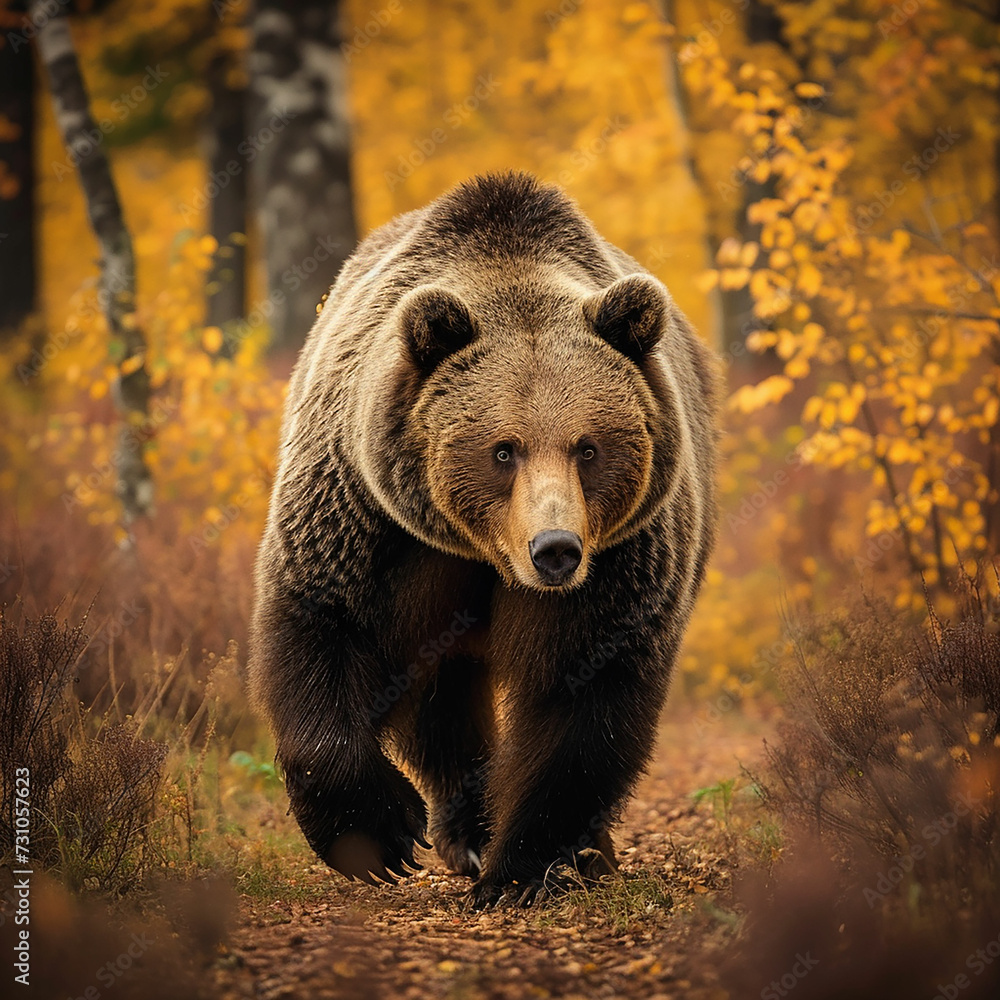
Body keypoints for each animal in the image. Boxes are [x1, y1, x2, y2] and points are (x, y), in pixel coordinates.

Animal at [248, 172, 719, 907]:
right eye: (504, 450)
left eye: (588, 447)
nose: (555, 549)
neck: (482, 552)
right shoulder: (370, 520)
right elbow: (321, 623)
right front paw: (378, 834)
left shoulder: (620, 561)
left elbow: (582, 700)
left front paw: (522, 868)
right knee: (440, 697)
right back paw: (463, 829)